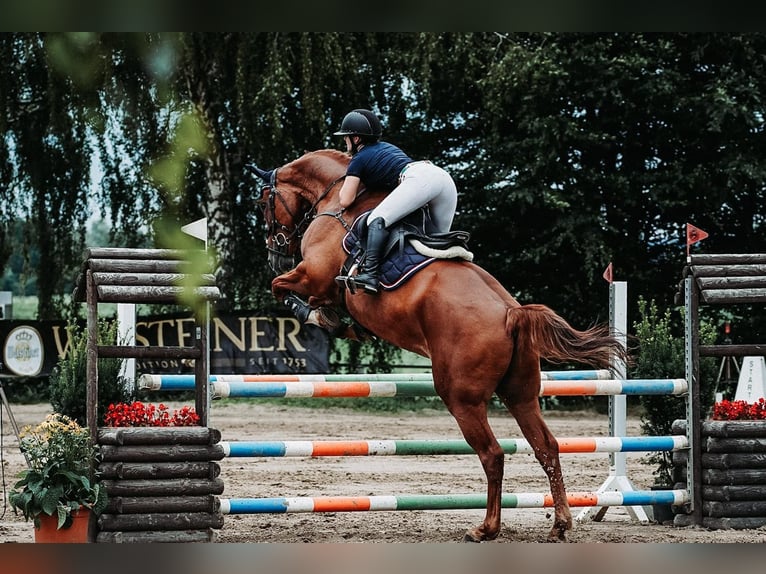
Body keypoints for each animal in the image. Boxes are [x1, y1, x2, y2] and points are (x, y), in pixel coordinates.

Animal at [252, 150, 632, 544]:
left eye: (263, 202)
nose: (275, 253)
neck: (339, 199)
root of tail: (512, 312)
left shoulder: (312, 276)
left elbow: (282, 288)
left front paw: (323, 317)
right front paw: (342, 323)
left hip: (461, 398)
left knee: (493, 454)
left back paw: (485, 528)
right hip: (520, 394)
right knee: (546, 447)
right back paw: (559, 524)